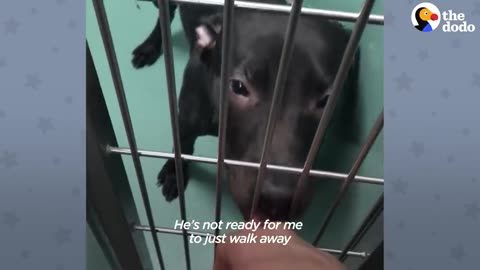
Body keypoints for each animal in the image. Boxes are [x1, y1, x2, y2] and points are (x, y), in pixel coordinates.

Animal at [135, 2, 360, 221]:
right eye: (238, 86)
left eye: (326, 99)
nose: (277, 201)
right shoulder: (186, 122)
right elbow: (183, 146)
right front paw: (174, 173)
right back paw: (149, 46)